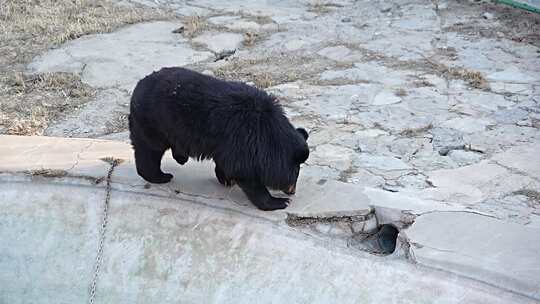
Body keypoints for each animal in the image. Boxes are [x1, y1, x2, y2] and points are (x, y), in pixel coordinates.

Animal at [128, 67, 310, 210]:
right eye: (295, 172)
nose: (292, 191)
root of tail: (137, 87)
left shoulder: (231, 143)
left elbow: (227, 162)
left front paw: (226, 179)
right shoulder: (244, 140)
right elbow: (245, 173)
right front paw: (279, 202)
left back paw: (179, 158)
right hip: (153, 122)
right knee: (149, 151)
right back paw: (161, 176)